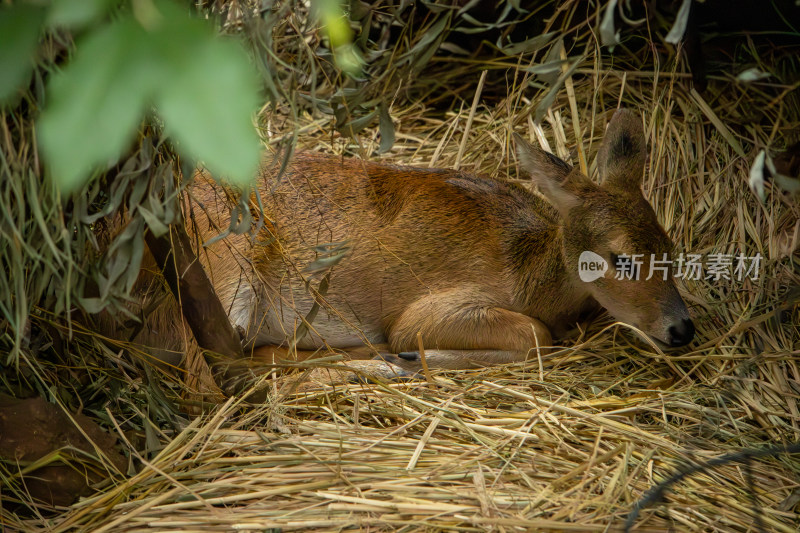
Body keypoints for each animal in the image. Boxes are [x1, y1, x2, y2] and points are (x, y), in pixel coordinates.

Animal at [111, 107, 692, 378]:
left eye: (670, 248)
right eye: (619, 258)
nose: (681, 328)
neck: (528, 271)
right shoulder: (431, 307)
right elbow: (536, 336)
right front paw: (417, 354)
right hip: (226, 268)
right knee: (228, 358)